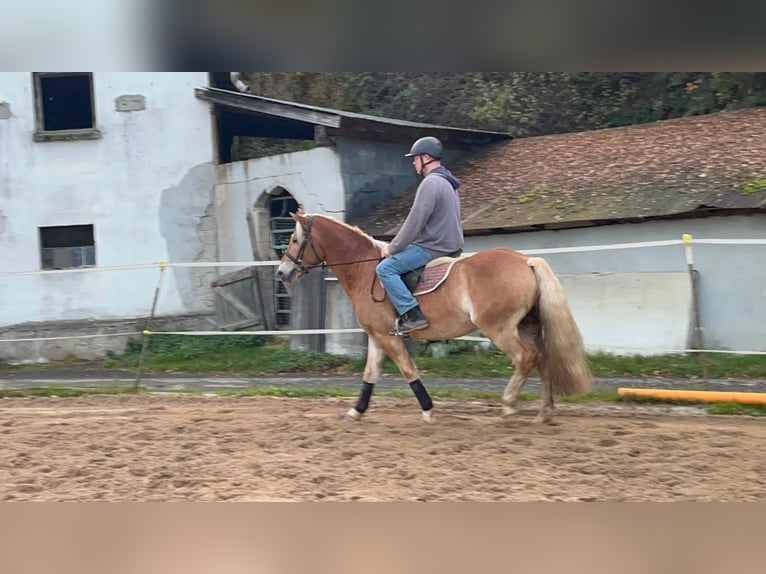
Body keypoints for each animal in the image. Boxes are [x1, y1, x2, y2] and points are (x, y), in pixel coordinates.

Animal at [276, 214, 592, 426]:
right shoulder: (377, 337)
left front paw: (428, 410)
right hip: (527, 327)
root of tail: (525, 261)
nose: (281, 272)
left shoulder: (387, 338)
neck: (365, 270)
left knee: (526, 358)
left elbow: (408, 371)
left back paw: (509, 404)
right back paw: (544, 413)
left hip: (500, 329)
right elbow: (370, 375)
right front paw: (356, 410)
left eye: (294, 239)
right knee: (542, 358)